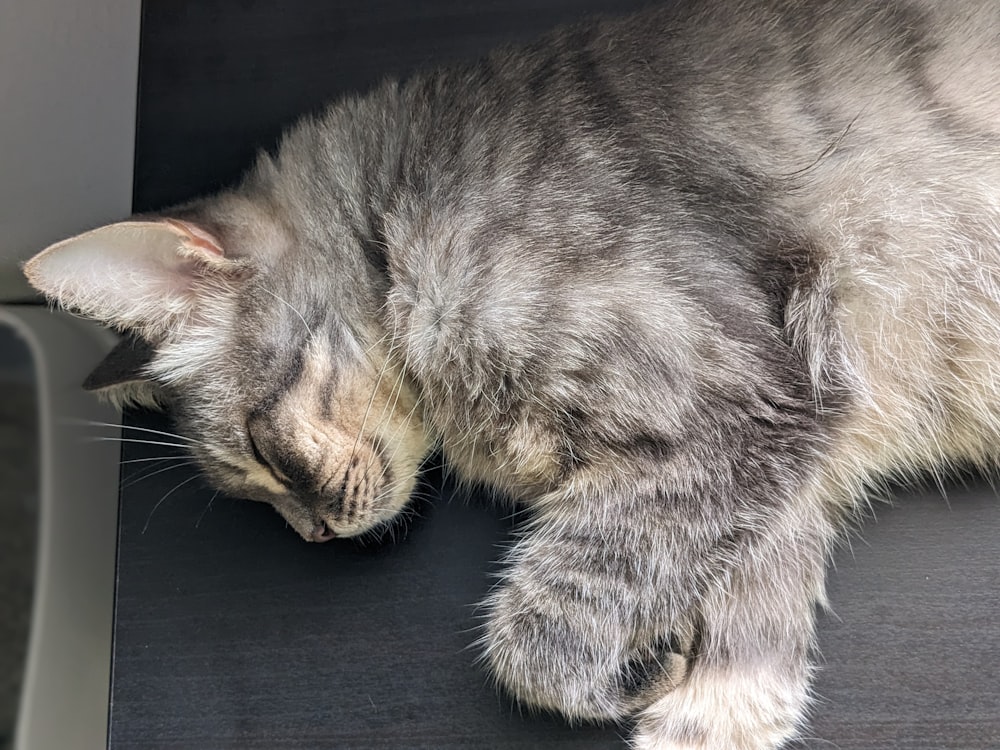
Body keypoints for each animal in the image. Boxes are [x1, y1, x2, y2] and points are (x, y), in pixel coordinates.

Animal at [21, 0, 1000, 748]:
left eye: (266, 451)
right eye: (253, 498)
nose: (316, 536)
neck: (401, 222)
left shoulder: (738, 398)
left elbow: (536, 632)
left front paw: (631, 674)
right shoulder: (781, 478)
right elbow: (745, 654)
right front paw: (692, 694)